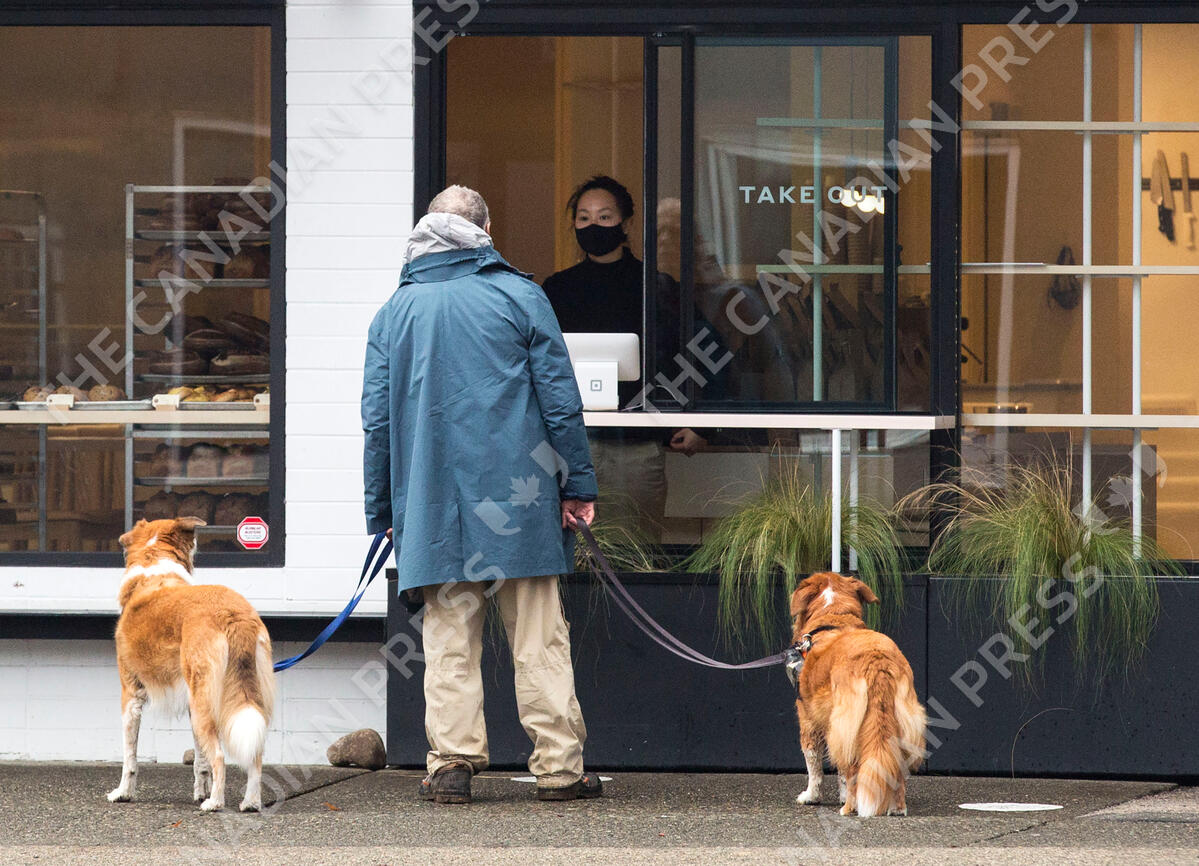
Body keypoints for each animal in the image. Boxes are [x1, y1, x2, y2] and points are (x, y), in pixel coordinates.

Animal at [107, 517, 276, 812]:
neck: (154, 563)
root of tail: (234, 614)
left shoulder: (131, 695)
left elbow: (130, 758)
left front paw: (123, 793)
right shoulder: (189, 703)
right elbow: (200, 760)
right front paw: (199, 791)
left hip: (204, 701)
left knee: (219, 756)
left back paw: (215, 803)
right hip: (222, 701)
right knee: (253, 754)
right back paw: (250, 802)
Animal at [789, 572, 926, 817]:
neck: (833, 616)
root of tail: (877, 661)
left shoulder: (809, 720)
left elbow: (814, 764)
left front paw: (811, 797)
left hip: (845, 721)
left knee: (852, 768)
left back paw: (849, 808)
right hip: (900, 720)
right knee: (895, 769)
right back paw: (897, 808)